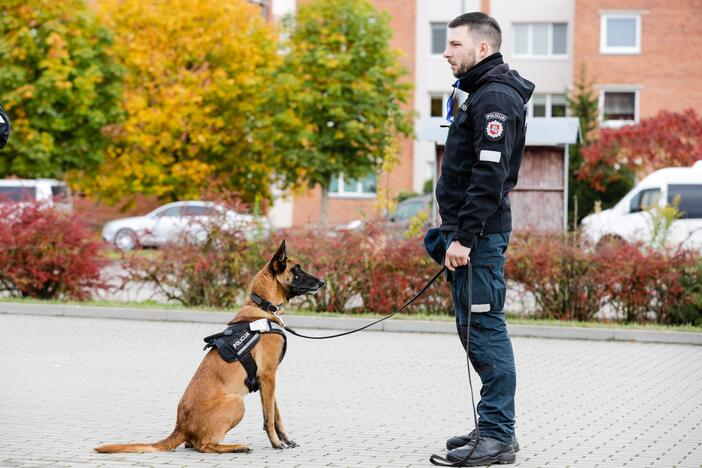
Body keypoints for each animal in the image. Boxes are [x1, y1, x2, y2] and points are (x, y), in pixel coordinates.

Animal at [96, 241, 328, 454]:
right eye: (297, 271)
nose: (323, 282)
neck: (262, 308)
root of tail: (181, 426)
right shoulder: (269, 375)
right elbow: (269, 418)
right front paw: (276, 443)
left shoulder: (268, 380)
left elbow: (275, 414)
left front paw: (285, 439)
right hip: (236, 401)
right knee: (204, 445)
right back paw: (236, 446)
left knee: (193, 444)